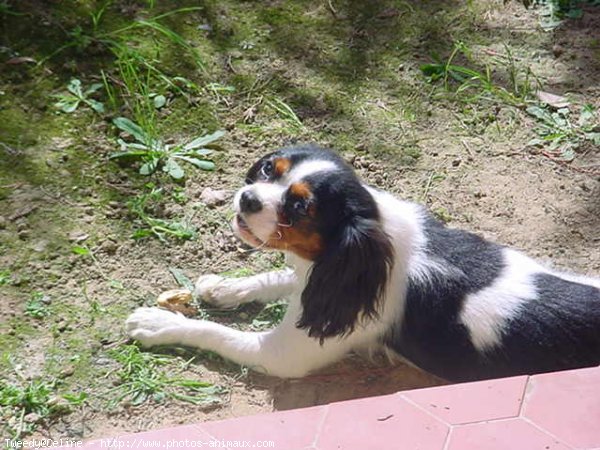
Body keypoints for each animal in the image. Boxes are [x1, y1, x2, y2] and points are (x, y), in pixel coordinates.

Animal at [126, 146, 600, 382]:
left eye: (300, 207)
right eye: (267, 170)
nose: (248, 198)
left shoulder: (283, 353)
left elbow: (212, 332)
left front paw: (157, 323)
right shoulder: (321, 278)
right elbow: (280, 277)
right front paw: (225, 286)